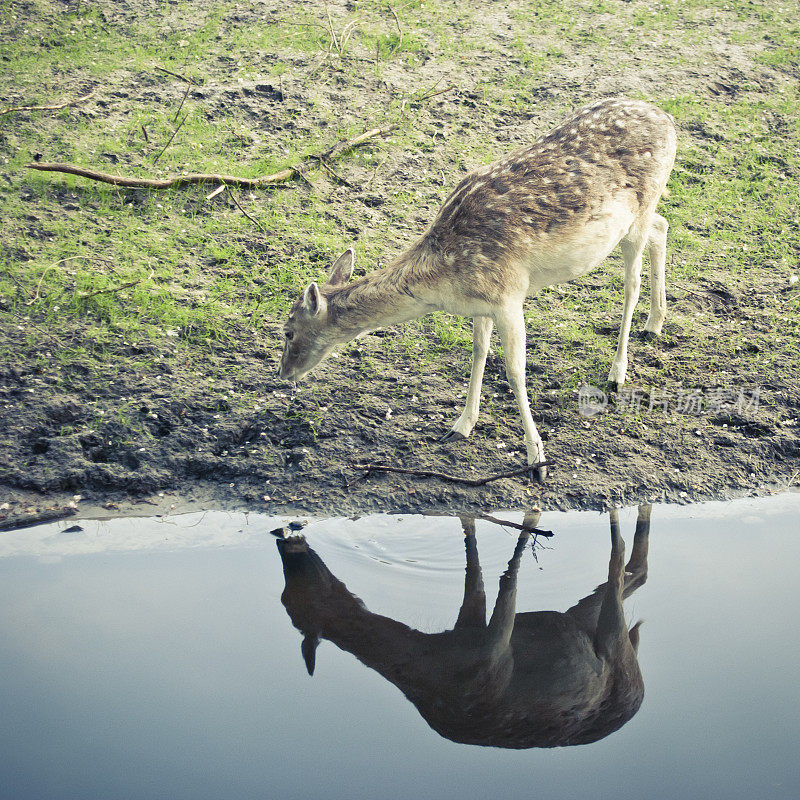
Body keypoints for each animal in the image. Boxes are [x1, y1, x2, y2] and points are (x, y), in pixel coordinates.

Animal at [276, 506, 648, 752]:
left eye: (291, 599)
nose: (282, 540)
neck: (433, 662)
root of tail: (641, 689)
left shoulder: (494, 652)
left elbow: (507, 579)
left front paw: (529, 524)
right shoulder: (467, 625)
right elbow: (473, 561)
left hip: (611, 641)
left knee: (620, 564)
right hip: (582, 621)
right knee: (634, 574)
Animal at [278, 97, 680, 478]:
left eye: (287, 331)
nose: (283, 374)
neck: (445, 281)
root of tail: (668, 118)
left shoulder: (508, 295)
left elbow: (515, 371)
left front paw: (537, 459)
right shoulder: (481, 305)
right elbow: (478, 353)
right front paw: (460, 426)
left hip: (639, 213)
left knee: (632, 282)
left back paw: (618, 371)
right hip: (642, 217)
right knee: (663, 226)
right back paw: (655, 323)